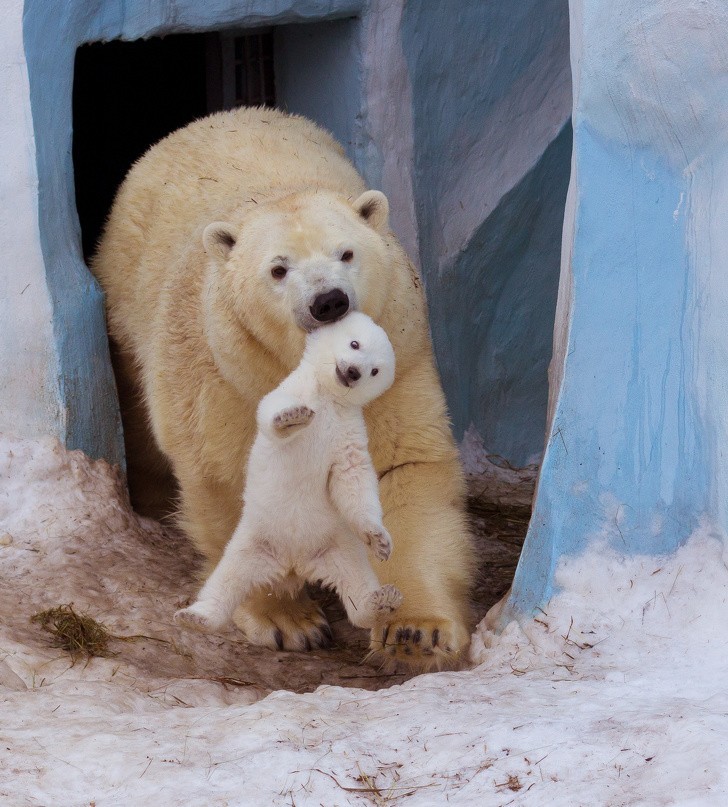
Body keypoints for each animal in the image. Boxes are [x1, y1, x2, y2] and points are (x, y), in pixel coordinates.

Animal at [176, 312, 404, 636]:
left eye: (375, 370)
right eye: (355, 343)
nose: (352, 372)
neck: (328, 398)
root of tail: (294, 564)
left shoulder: (347, 431)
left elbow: (352, 477)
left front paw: (380, 540)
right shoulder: (291, 389)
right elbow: (271, 412)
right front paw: (291, 417)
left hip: (337, 547)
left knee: (356, 582)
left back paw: (382, 602)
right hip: (254, 540)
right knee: (226, 579)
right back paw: (197, 616)